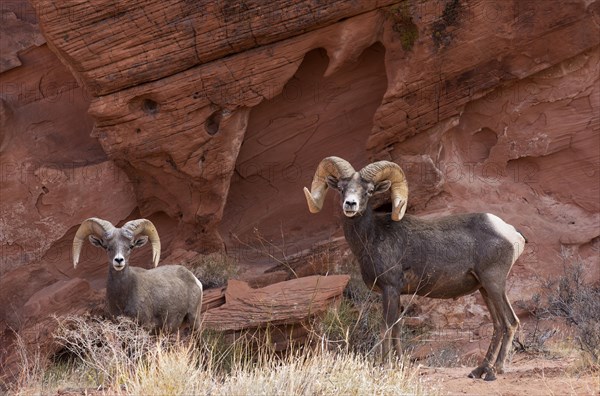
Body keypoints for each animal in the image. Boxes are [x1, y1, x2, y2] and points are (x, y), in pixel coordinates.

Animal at [72, 218, 204, 332]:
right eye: (107, 247)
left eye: (130, 246)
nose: (119, 260)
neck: (122, 298)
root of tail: (194, 279)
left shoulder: (144, 326)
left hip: (194, 321)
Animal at [304, 157, 524, 380]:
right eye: (341, 188)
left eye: (369, 190)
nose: (350, 204)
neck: (372, 238)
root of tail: (511, 233)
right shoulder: (396, 294)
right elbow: (397, 329)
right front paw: (400, 364)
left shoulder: (390, 289)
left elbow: (386, 327)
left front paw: (383, 366)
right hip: (484, 289)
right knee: (498, 325)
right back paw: (480, 370)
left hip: (494, 283)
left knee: (510, 322)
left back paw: (495, 371)